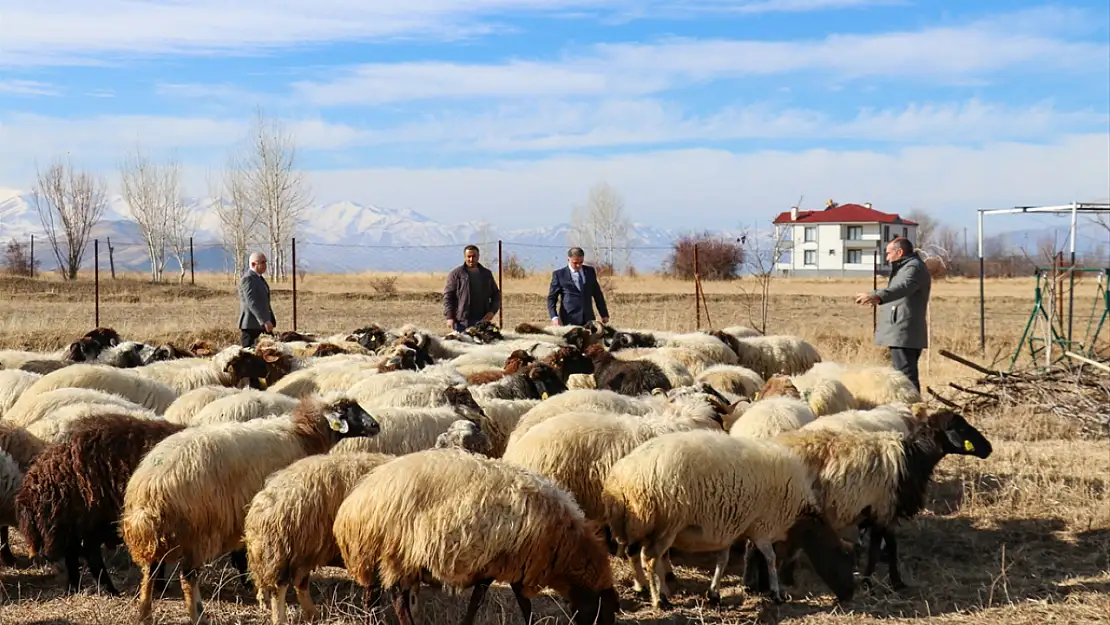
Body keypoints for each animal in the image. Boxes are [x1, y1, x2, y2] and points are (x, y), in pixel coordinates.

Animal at [14, 415, 186, 595]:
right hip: (85, 523)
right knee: (90, 557)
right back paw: (109, 589)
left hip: (76, 526)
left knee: (74, 556)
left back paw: (75, 588)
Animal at [120, 392, 381, 621]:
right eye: (346, 409)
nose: (375, 425)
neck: (301, 434)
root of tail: (149, 487)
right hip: (198, 530)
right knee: (187, 576)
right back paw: (198, 615)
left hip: (162, 534)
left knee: (150, 571)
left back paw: (145, 613)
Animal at [333, 448, 621, 625]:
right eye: (604, 616)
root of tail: (354, 505)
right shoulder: (504, 564)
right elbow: (485, 601)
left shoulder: (515, 567)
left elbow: (521, 602)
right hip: (396, 552)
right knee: (397, 599)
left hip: (379, 555)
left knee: (373, 595)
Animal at [603, 430, 852, 608]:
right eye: (842, 559)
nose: (852, 593)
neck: (798, 514)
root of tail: (619, 480)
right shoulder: (762, 526)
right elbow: (770, 558)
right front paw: (776, 593)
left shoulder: (729, 526)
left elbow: (722, 560)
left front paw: (714, 593)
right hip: (666, 525)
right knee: (650, 558)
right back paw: (660, 601)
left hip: (641, 526)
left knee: (636, 555)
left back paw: (647, 588)